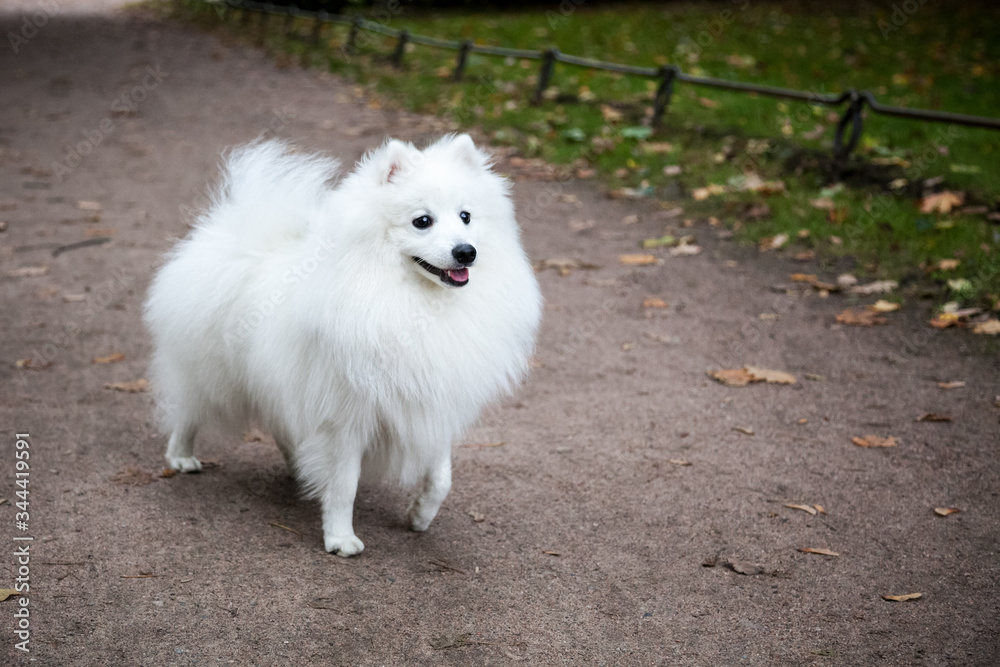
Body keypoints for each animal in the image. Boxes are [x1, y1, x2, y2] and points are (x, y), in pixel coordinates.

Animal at [143, 133, 540, 556]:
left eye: (465, 217)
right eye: (422, 221)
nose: (466, 251)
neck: (412, 302)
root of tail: (238, 233)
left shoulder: (429, 400)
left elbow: (441, 477)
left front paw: (420, 516)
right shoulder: (346, 416)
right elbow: (344, 484)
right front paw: (340, 538)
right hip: (211, 372)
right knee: (189, 411)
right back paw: (181, 456)